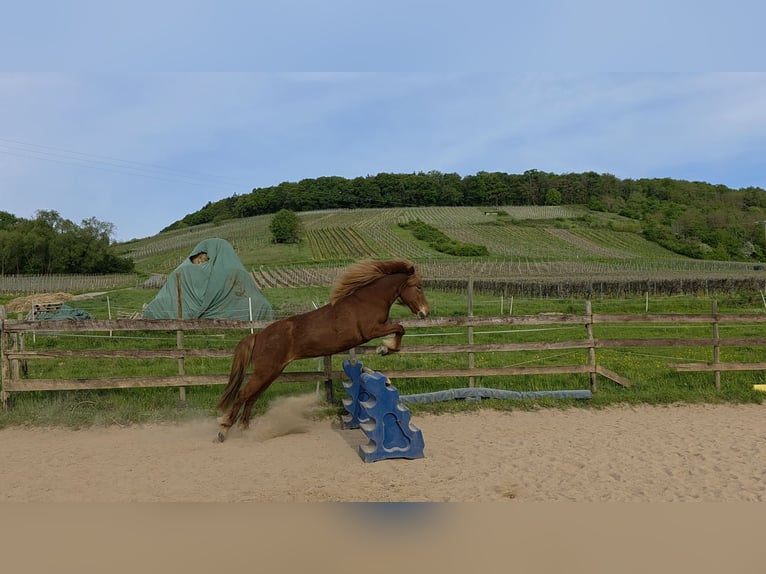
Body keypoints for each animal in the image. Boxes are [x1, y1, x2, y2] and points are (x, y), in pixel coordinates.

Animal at [214, 258, 430, 442]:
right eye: (418, 286)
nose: (425, 313)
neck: (368, 300)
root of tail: (258, 336)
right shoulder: (372, 330)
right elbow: (400, 327)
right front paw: (384, 348)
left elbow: (399, 329)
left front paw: (385, 348)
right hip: (265, 371)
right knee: (243, 395)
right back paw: (224, 430)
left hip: (271, 373)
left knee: (252, 397)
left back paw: (245, 430)